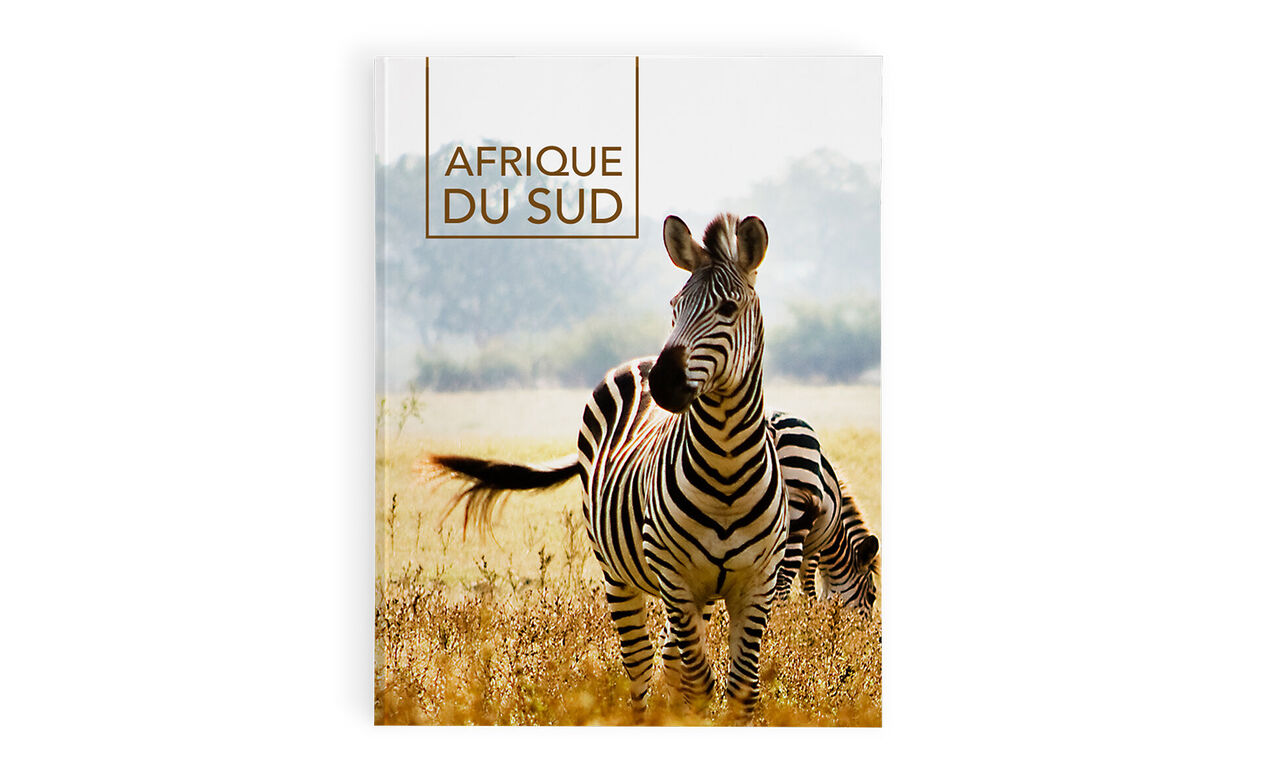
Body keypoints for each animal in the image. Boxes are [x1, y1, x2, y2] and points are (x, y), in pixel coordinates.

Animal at [426, 214, 788, 719]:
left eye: (728, 308)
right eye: (674, 307)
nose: (663, 382)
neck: (727, 469)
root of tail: (637, 362)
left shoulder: (757, 584)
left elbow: (742, 689)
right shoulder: (675, 578)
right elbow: (699, 682)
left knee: (670, 660)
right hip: (620, 575)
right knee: (640, 665)